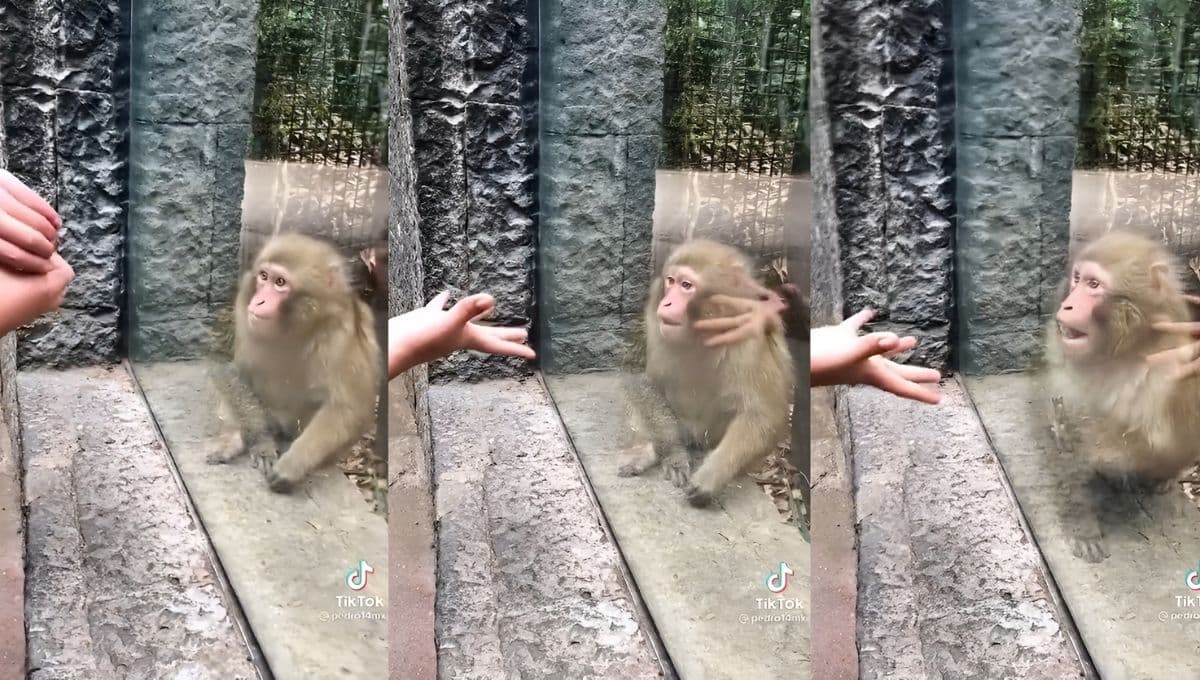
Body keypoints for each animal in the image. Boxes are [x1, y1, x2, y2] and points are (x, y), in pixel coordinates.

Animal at [207, 233, 383, 494]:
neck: (293, 326)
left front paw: (293, 464)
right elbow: (226, 369)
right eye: (263, 276)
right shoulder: (241, 306)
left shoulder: (339, 335)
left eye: (280, 282)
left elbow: (349, 406)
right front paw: (261, 441)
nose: (258, 302)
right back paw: (236, 438)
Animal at [618, 239, 794, 508]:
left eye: (686, 285)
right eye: (671, 281)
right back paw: (649, 451)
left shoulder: (749, 337)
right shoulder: (652, 318)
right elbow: (640, 379)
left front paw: (711, 477)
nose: (667, 303)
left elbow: (762, 414)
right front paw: (674, 454)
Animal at [1045, 230, 1200, 561]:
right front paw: (1084, 528)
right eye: (1077, 278)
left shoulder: (1172, 364)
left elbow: (1167, 437)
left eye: (1094, 285)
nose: (1067, 306)